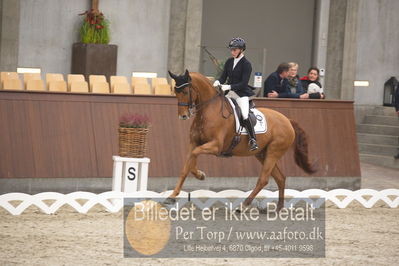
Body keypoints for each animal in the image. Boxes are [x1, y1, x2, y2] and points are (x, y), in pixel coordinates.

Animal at [166, 70, 316, 210]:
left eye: (185, 91)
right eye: (175, 92)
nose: (183, 116)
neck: (208, 112)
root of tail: (288, 121)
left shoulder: (216, 146)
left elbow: (194, 154)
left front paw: (200, 175)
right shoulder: (194, 143)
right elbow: (186, 166)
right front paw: (173, 196)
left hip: (273, 152)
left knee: (264, 179)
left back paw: (244, 205)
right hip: (262, 154)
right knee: (280, 178)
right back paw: (279, 208)